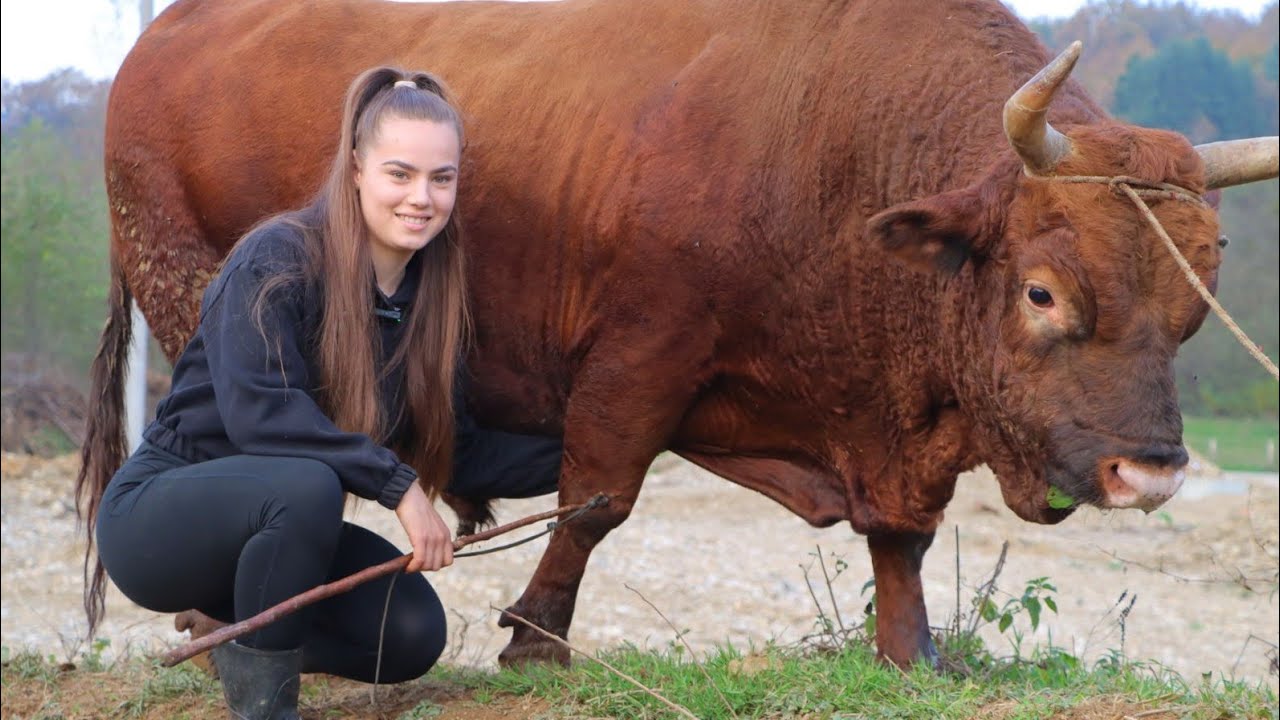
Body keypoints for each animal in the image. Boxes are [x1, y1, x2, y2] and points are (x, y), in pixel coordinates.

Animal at [79, 0, 1278, 670]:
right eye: (1041, 294)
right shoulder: (640, 352)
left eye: (1191, 309)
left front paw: (913, 654)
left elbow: (900, 537)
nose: (1149, 473)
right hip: (181, 284)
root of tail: (166, 35)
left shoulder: (886, 425)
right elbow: (598, 498)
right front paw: (536, 638)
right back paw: (209, 624)